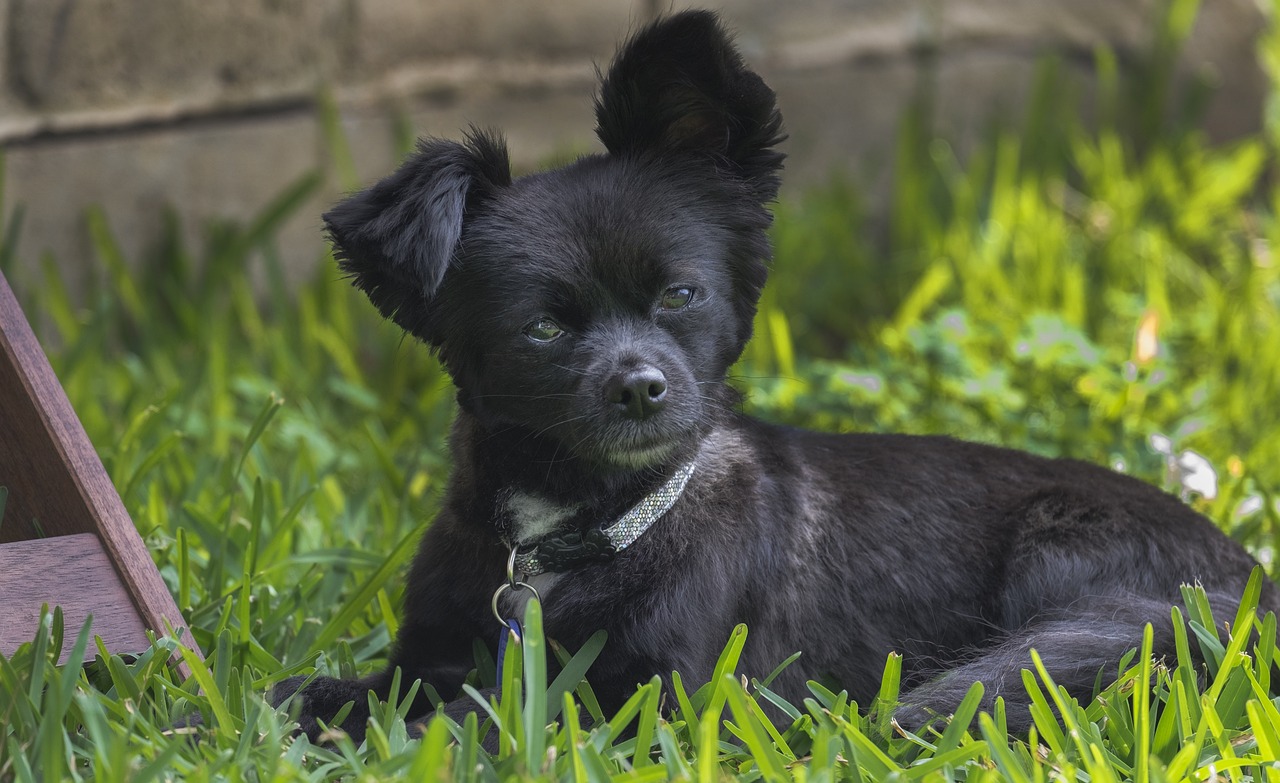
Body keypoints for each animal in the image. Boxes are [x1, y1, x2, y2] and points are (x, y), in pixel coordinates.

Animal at [282, 9, 1280, 736]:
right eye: (541, 328)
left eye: (679, 294)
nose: (640, 386)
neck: (580, 528)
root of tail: (1251, 586)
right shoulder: (430, 652)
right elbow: (322, 692)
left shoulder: (650, 697)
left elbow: (477, 721)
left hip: (1064, 558)